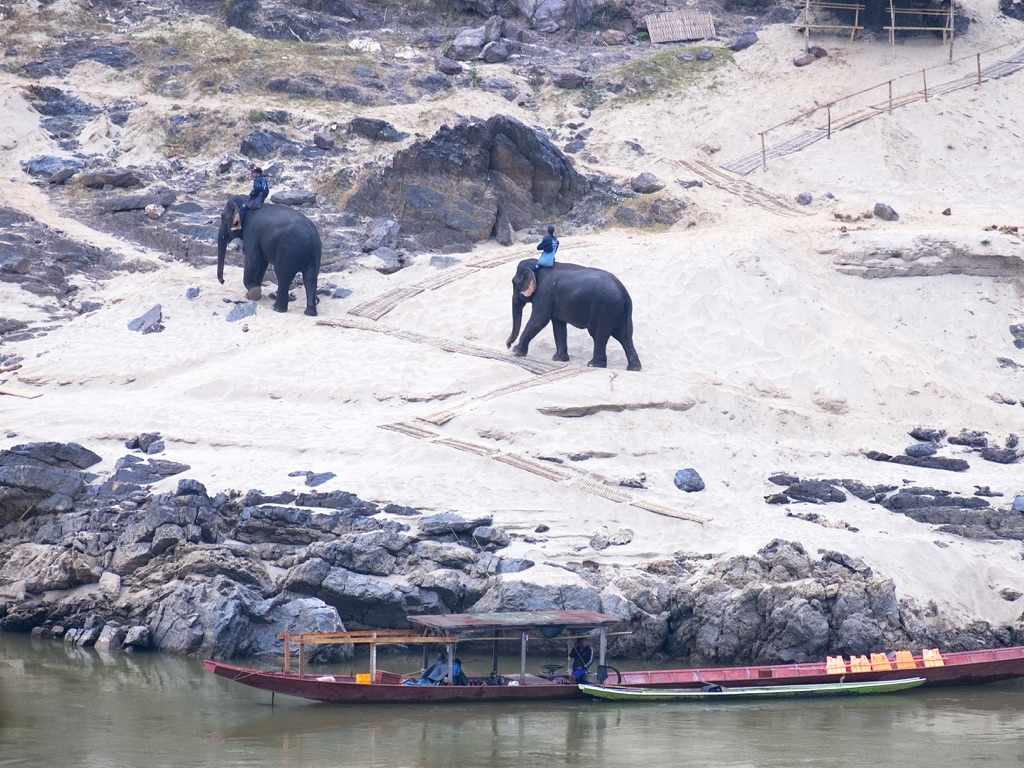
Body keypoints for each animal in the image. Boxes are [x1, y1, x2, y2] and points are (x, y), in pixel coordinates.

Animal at [503, 260, 638, 370]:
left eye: (514, 283)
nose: (508, 345)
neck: (538, 265)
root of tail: (623, 290)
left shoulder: (544, 293)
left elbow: (539, 320)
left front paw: (516, 352)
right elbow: (558, 325)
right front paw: (558, 359)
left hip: (604, 309)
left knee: (599, 335)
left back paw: (593, 365)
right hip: (617, 311)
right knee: (624, 336)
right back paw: (634, 367)